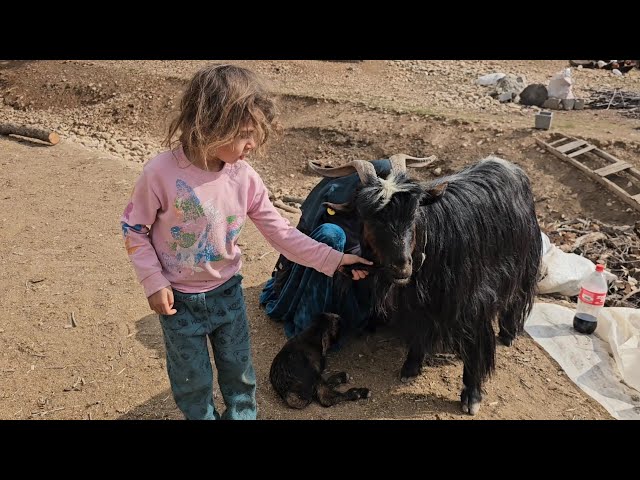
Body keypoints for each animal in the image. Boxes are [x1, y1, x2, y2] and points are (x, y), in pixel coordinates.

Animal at [312, 156, 544, 414]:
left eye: (413, 214)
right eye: (368, 217)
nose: (402, 268)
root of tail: (506, 164)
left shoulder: (473, 300)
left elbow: (476, 345)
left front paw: (471, 396)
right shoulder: (417, 301)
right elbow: (419, 329)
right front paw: (411, 366)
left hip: (525, 259)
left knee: (518, 296)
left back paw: (508, 333)